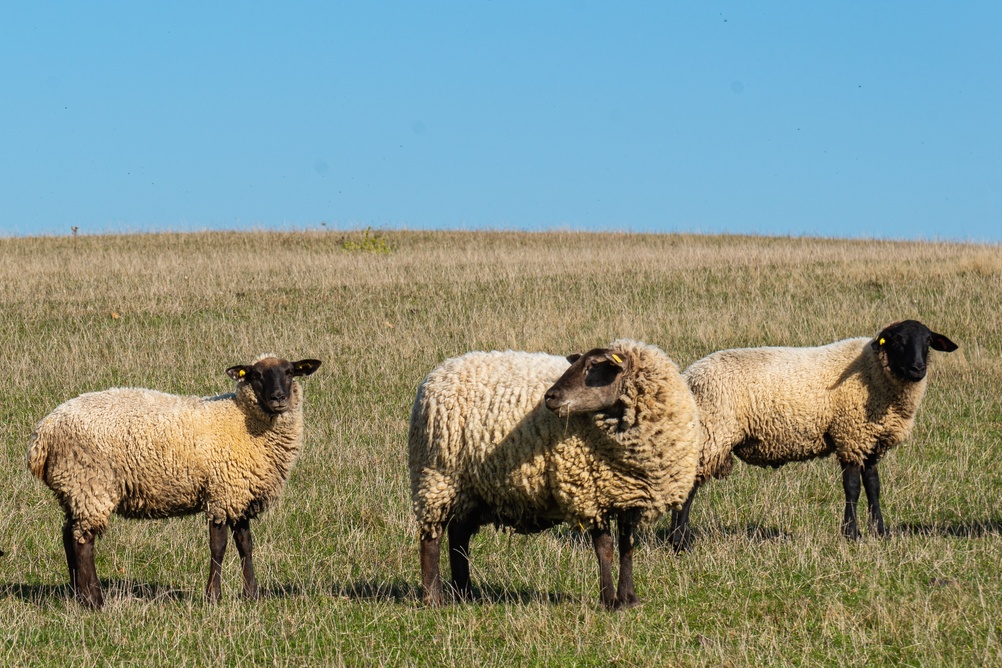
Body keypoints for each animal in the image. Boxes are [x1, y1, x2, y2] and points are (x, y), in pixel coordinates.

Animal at [27, 354, 322, 609]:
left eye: (290, 372)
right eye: (256, 375)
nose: (278, 398)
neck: (242, 420)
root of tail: (43, 433)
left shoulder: (239, 495)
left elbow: (245, 545)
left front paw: (252, 595)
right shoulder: (220, 494)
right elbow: (218, 546)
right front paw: (213, 597)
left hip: (74, 488)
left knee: (68, 535)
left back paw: (78, 594)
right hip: (90, 484)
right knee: (83, 542)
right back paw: (95, 601)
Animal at [409, 339, 700, 610]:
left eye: (594, 366)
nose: (549, 397)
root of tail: (437, 373)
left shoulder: (630, 497)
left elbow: (627, 548)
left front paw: (629, 599)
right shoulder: (589, 493)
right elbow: (605, 549)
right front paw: (609, 601)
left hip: (471, 488)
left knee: (458, 536)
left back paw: (464, 592)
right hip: (437, 477)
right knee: (431, 539)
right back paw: (434, 598)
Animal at [666, 320, 957, 551]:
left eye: (928, 341)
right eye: (897, 340)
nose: (918, 369)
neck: (873, 372)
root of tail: (689, 375)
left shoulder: (870, 440)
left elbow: (873, 486)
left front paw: (880, 532)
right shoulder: (850, 435)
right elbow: (852, 487)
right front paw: (851, 534)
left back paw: (676, 539)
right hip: (713, 432)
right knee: (688, 486)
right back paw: (680, 542)